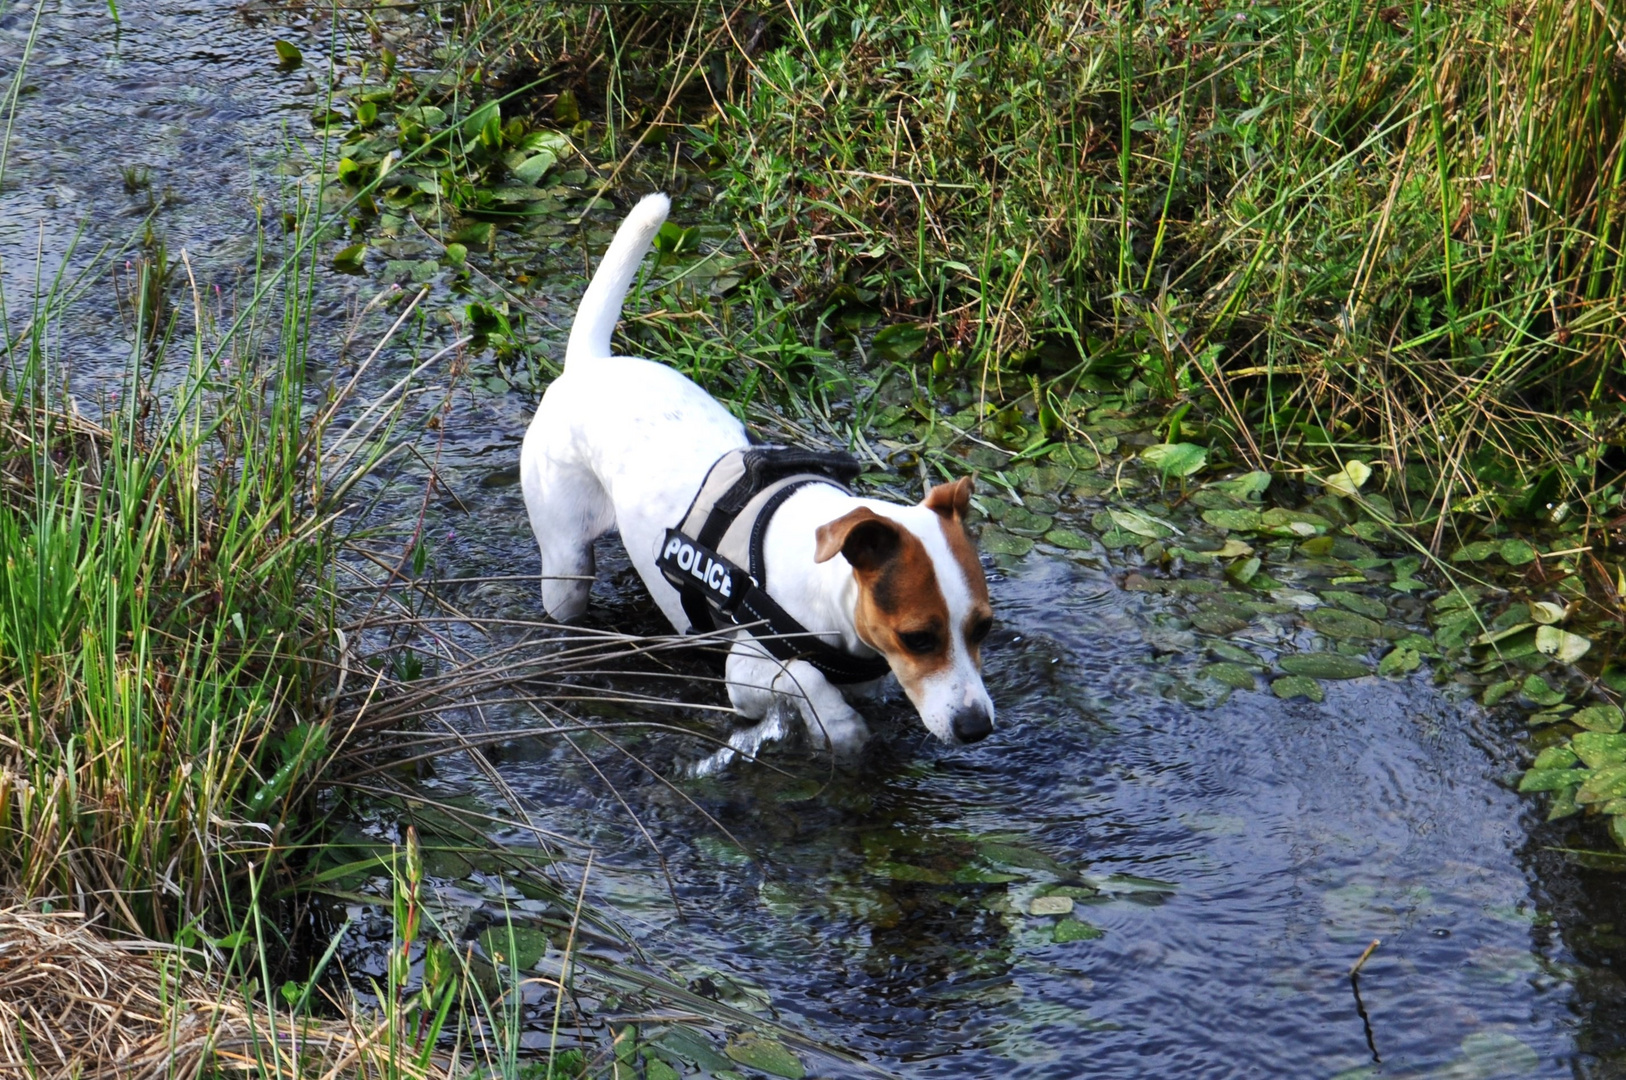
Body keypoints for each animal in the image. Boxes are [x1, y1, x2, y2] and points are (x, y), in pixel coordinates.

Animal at [526, 191, 995, 751]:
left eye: (984, 628)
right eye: (918, 637)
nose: (977, 726)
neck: (828, 586)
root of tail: (589, 364)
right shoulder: (747, 673)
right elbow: (806, 678)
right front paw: (838, 725)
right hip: (565, 564)